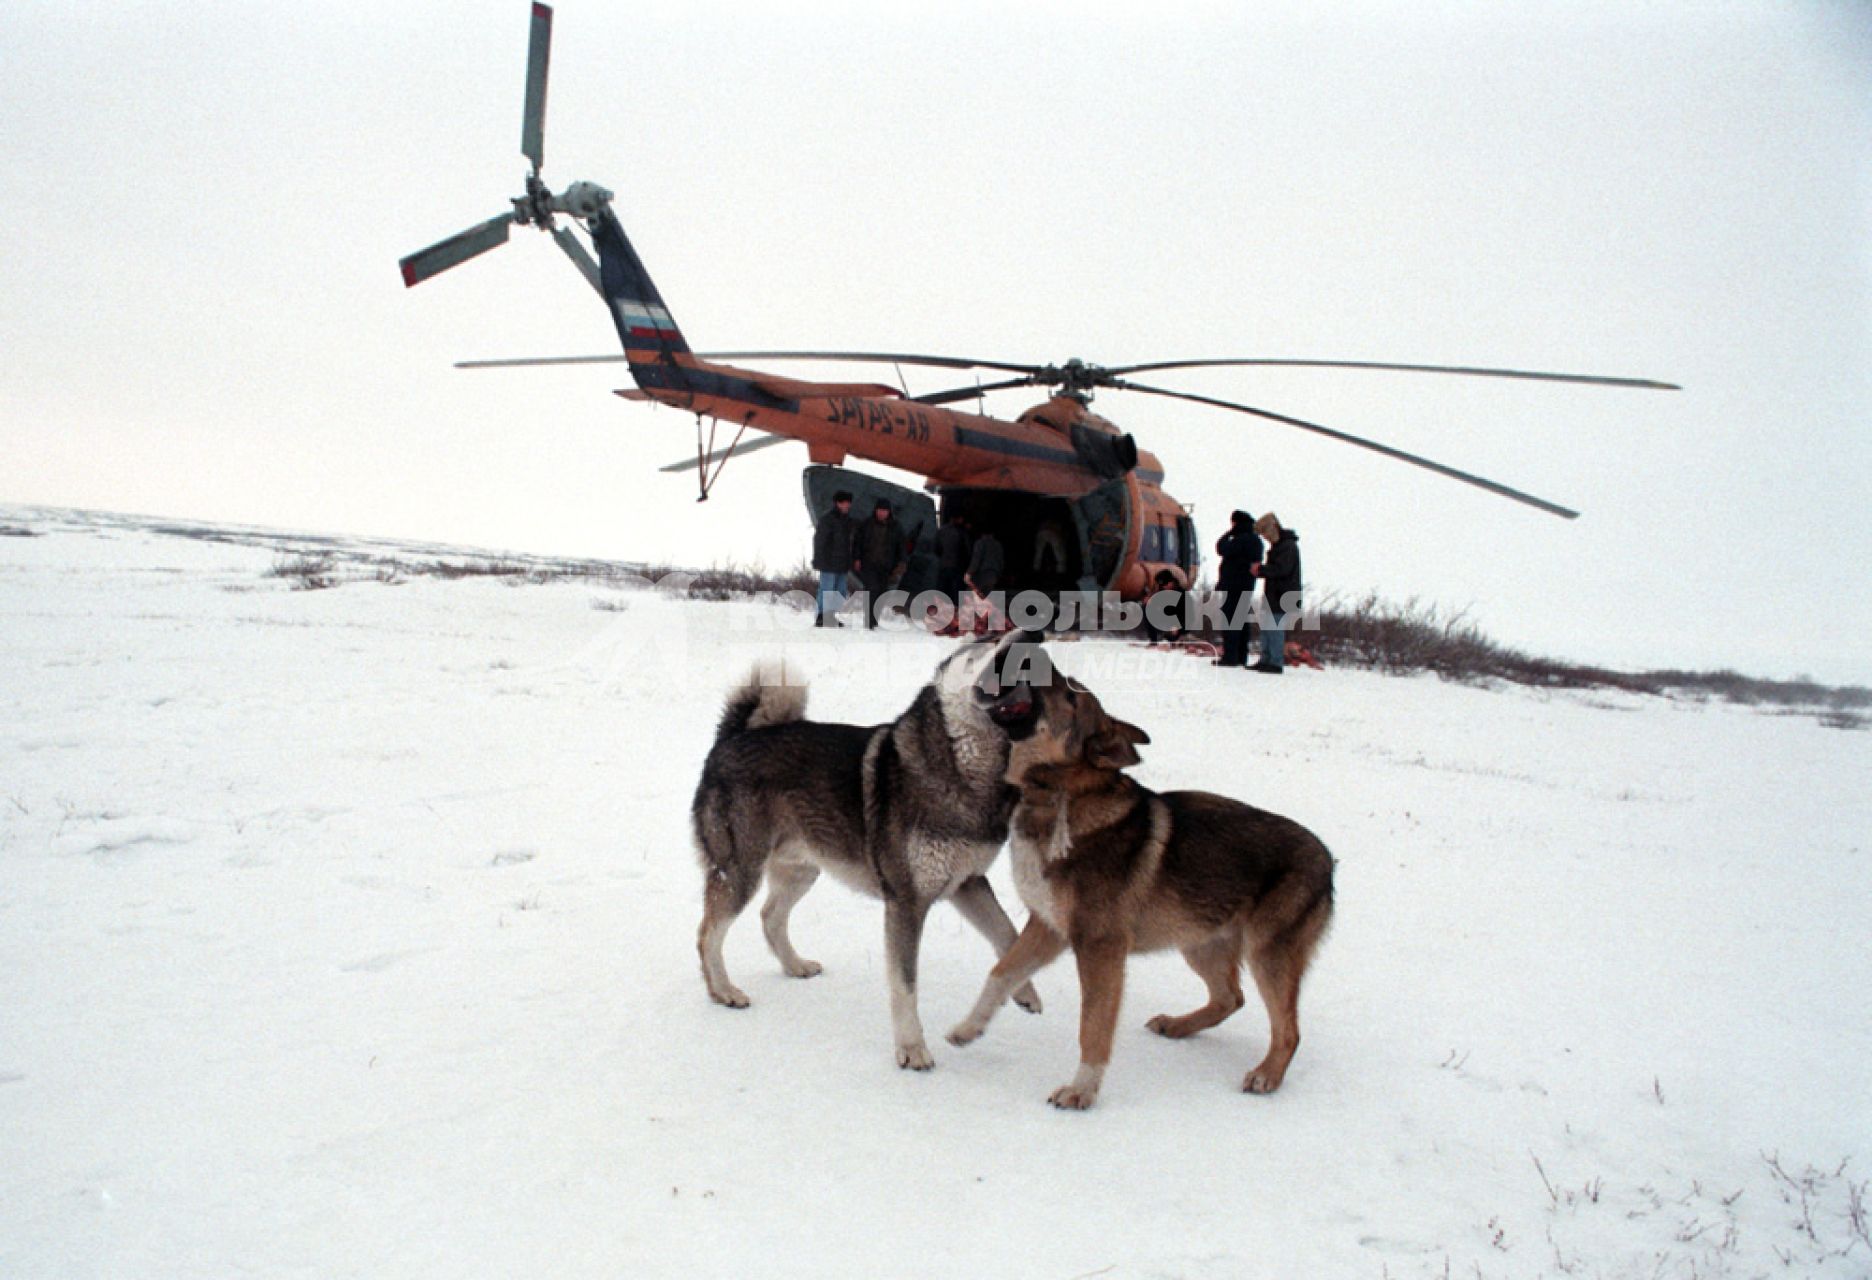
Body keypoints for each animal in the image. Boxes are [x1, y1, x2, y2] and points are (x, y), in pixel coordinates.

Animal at [950, 681, 1332, 1107]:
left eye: (1071, 697)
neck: (1059, 795)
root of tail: (1327, 859)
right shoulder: (1049, 928)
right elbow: (1000, 975)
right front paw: (969, 1028)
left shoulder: (1099, 947)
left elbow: (1093, 1025)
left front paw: (1081, 1090)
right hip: (1199, 943)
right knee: (1230, 997)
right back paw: (1177, 1026)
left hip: (1267, 956)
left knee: (1288, 1030)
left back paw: (1266, 1075)